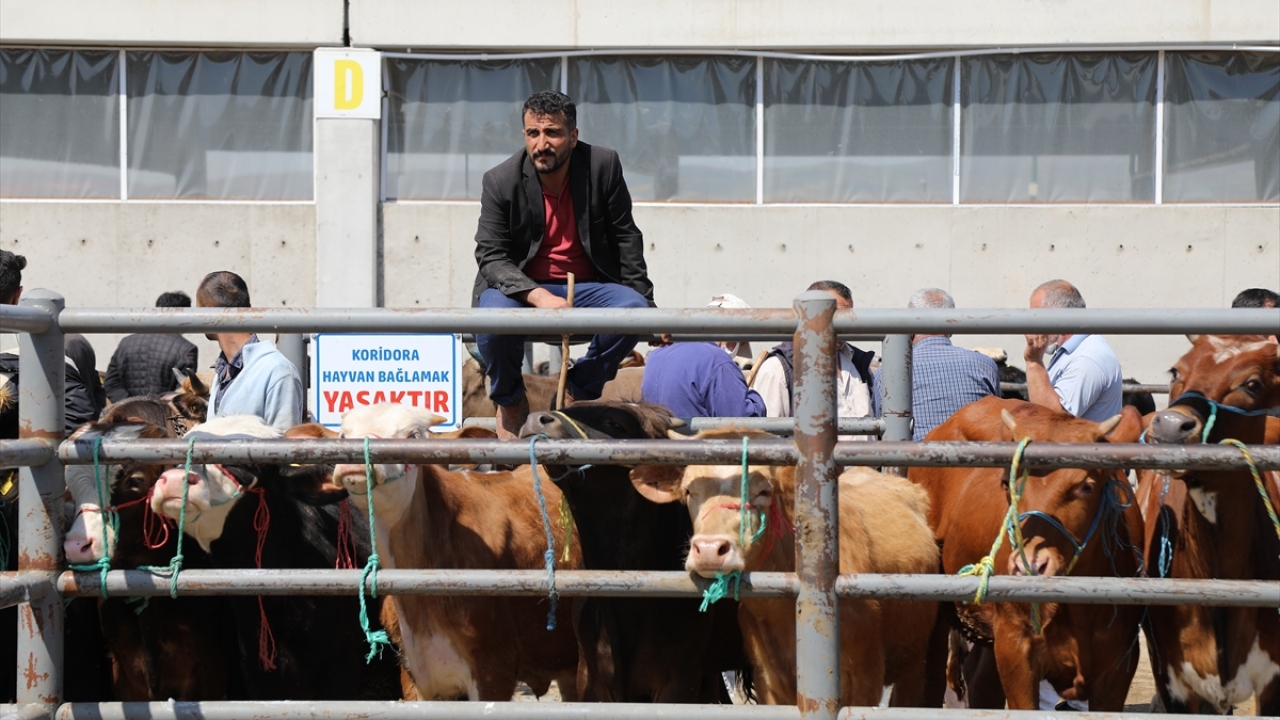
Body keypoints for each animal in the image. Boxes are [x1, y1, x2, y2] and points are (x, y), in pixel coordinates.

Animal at [631, 429, 941, 707]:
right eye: (689, 491)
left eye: (763, 491)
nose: (709, 549)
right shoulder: (768, 681)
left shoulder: (864, 679)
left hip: (915, 663)